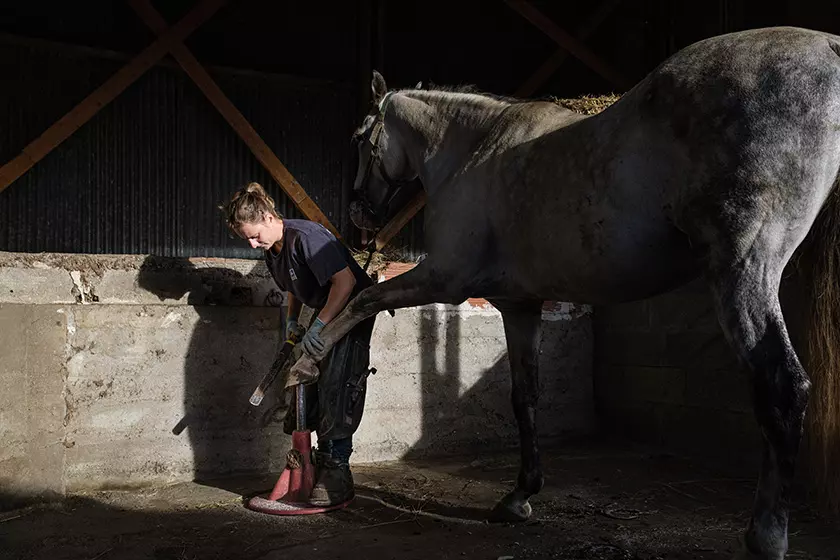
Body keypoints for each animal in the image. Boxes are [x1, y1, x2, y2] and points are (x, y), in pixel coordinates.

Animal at [292, 27, 840, 560]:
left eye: (360, 138)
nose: (360, 213)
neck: (472, 151)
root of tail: (828, 50)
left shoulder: (443, 279)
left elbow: (362, 301)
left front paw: (306, 360)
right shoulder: (520, 305)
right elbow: (525, 397)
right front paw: (520, 495)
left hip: (743, 270)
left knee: (783, 386)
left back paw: (767, 533)